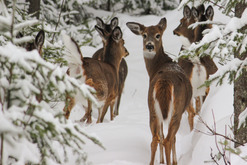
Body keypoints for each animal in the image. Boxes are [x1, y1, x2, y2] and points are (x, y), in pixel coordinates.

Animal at [127, 17, 193, 165]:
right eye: (144, 35)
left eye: (158, 35)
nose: (149, 46)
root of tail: (165, 81)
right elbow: (172, 138)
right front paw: (173, 161)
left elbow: (161, 136)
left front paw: (162, 161)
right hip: (177, 110)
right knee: (168, 139)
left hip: (151, 108)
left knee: (155, 138)